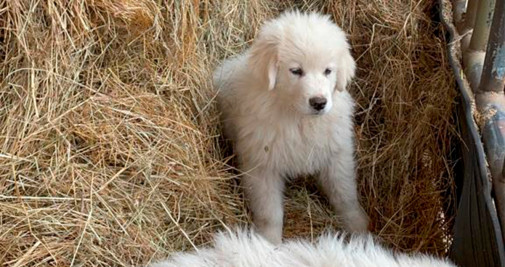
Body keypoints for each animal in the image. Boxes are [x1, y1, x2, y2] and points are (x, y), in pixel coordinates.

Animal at [212, 11, 366, 244]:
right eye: (296, 71)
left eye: (328, 71)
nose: (319, 102)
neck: (299, 119)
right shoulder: (262, 166)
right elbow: (270, 213)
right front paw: (268, 243)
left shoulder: (336, 155)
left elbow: (344, 195)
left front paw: (359, 227)